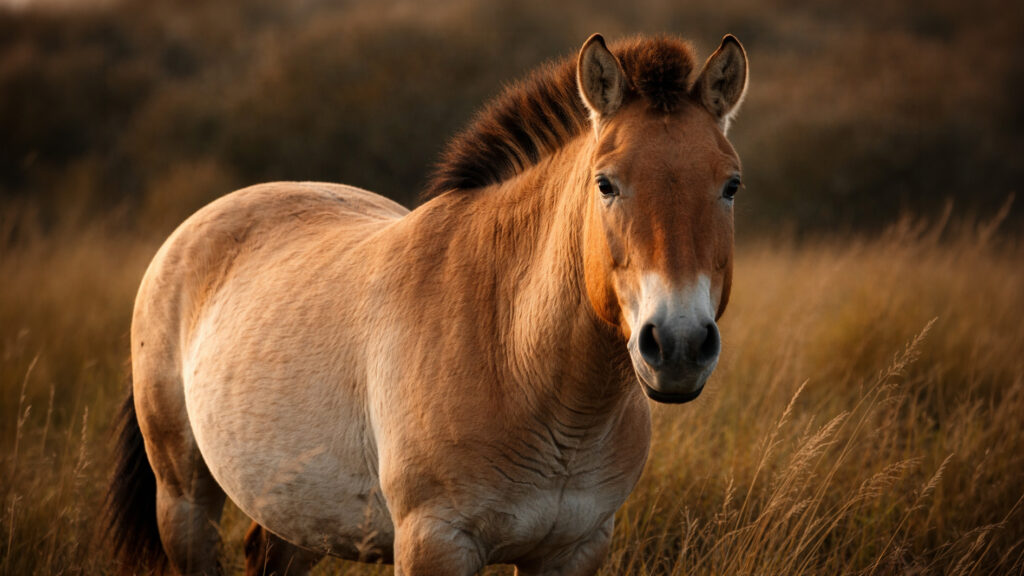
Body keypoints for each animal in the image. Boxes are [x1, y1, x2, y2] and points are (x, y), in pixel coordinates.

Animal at [105, 32, 748, 576]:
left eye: (731, 185)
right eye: (606, 184)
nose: (679, 345)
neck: (513, 354)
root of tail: (193, 229)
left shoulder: (575, 548)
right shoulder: (435, 542)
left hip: (294, 513)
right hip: (184, 498)